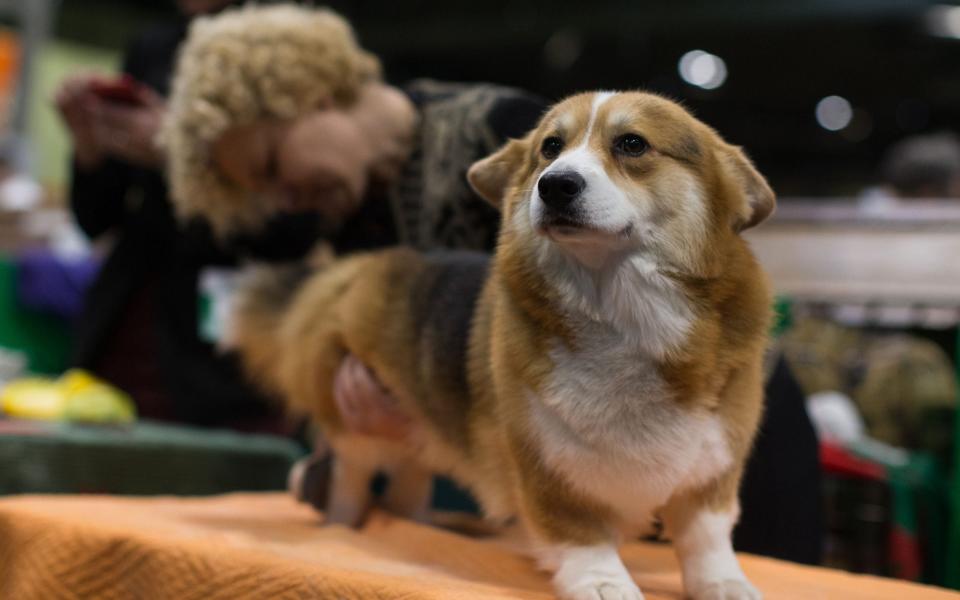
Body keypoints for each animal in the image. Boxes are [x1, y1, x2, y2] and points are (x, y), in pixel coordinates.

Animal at [231, 90, 772, 600]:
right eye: (550, 148)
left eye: (632, 144)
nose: (555, 184)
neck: (620, 315)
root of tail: (350, 270)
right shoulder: (549, 463)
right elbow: (582, 536)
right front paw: (604, 583)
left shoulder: (713, 465)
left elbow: (706, 538)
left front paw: (725, 584)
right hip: (356, 428)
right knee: (350, 478)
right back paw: (344, 528)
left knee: (408, 481)